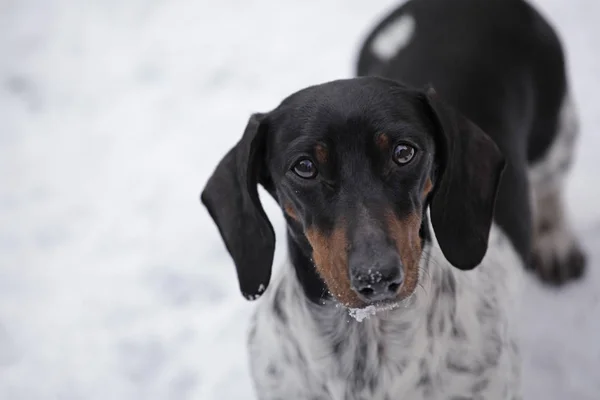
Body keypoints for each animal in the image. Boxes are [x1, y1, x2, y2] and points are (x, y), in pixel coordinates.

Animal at [203, 0, 584, 398]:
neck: (367, 338)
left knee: (550, 186)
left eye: (404, 152)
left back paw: (556, 244)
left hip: (554, 130)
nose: (377, 276)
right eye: (304, 167)